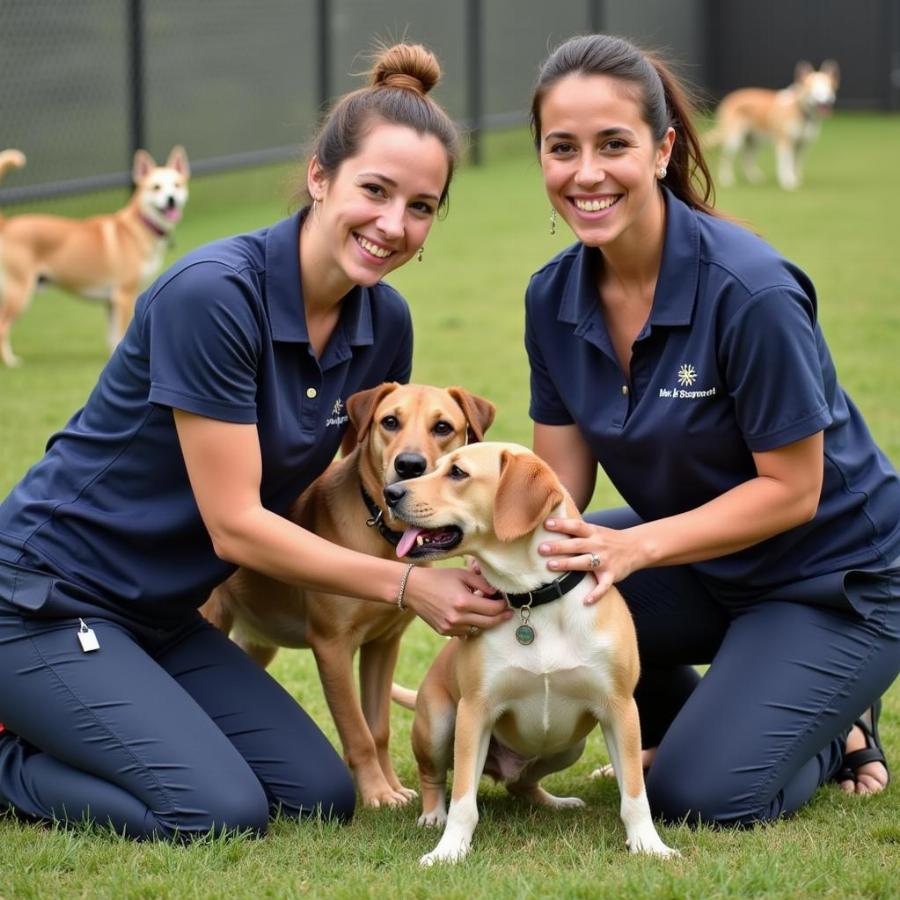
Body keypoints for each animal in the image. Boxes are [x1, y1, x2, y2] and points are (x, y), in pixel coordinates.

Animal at [0, 146, 190, 364]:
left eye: (176, 185)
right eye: (156, 187)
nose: (171, 200)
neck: (138, 227)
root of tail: (8, 224)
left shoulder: (110, 302)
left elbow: (113, 338)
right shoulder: (124, 295)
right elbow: (120, 332)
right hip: (20, 291)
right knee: (2, 327)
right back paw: (10, 361)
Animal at [201, 380, 496, 808]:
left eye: (442, 427)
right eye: (390, 421)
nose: (409, 465)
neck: (383, 541)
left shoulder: (383, 644)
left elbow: (378, 729)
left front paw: (392, 786)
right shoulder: (332, 646)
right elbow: (357, 732)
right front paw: (376, 792)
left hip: (257, 641)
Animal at [382, 442, 676, 864]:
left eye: (457, 472)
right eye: (434, 467)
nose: (390, 493)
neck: (534, 602)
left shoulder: (621, 711)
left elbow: (635, 793)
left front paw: (649, 844)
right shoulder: (474, 713)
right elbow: (464, 801)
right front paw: (449, 850)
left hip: (569, 746)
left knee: (521, 784)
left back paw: (553, 801)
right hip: (437, 724)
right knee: (434, 777)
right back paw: (432, 815)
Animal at [708, 60, 840, 191]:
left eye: (829, 88)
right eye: (814, 89)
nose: (828, 100)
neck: (801, 111)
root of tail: (729, 98)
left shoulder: (802, 146)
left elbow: (796, 164)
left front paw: (796, 179)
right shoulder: (784, 143)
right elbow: (786, 164)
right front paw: (788, 182)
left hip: (754, 141)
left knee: (747, 159)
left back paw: (753, 178)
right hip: (734, 140)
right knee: (725, 159)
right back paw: (726, 180)